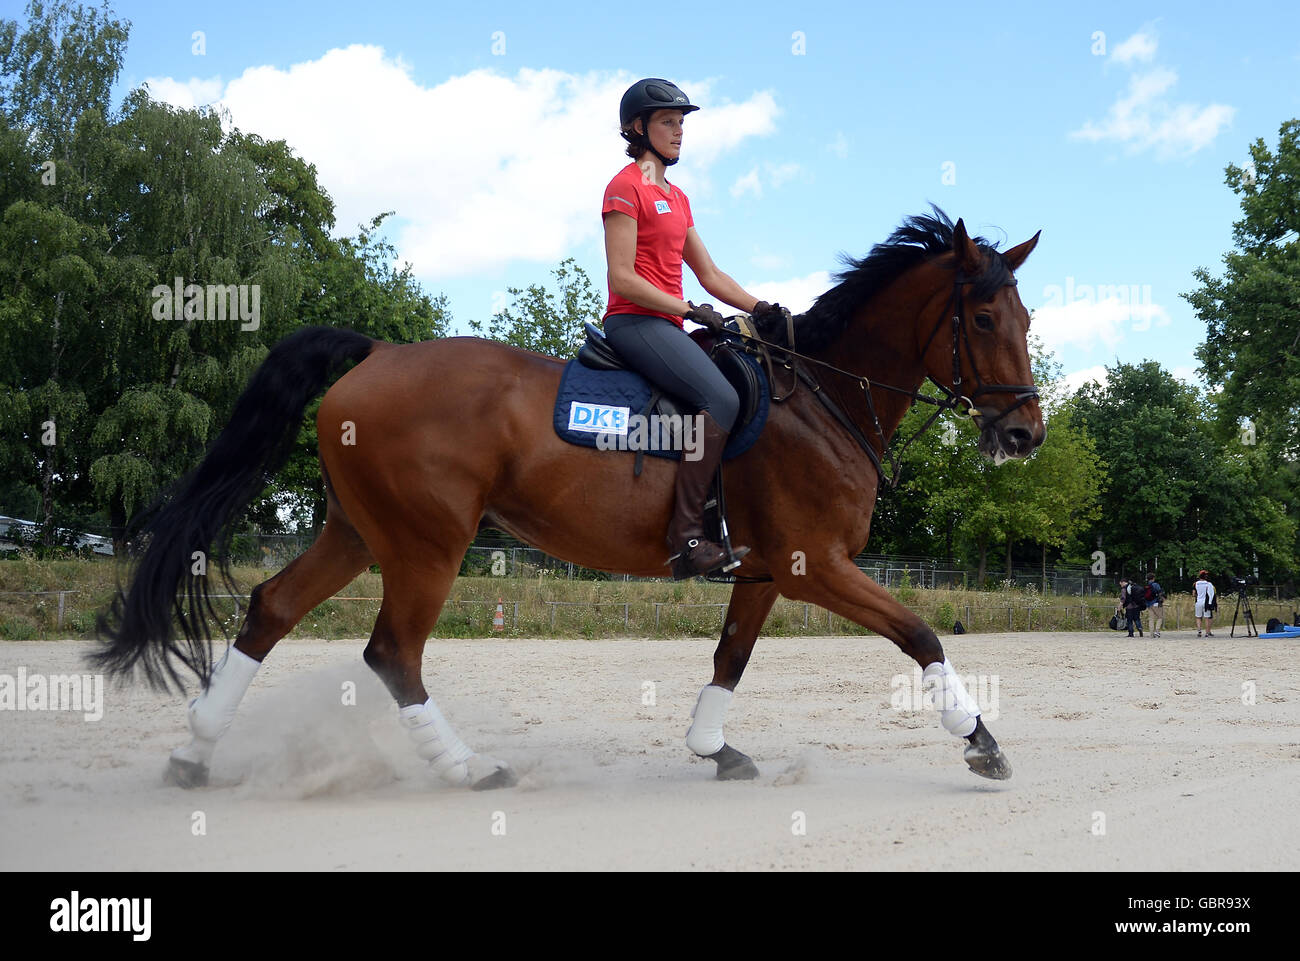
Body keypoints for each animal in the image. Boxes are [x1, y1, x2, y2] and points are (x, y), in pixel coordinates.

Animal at [95, 208, 1044, 791]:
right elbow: (920, 633)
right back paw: (470, 769)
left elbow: (729, 658)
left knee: (270, 608)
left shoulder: (766, 570)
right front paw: (983, 742)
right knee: (393, 653)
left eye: (1026, 319)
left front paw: (713, 748)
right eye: (983, 320)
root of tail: (381, 350)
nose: (1025, 433)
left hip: (359, 531)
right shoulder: (818, 565)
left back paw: (193, 752)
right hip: (427, 544)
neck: (823, 397)